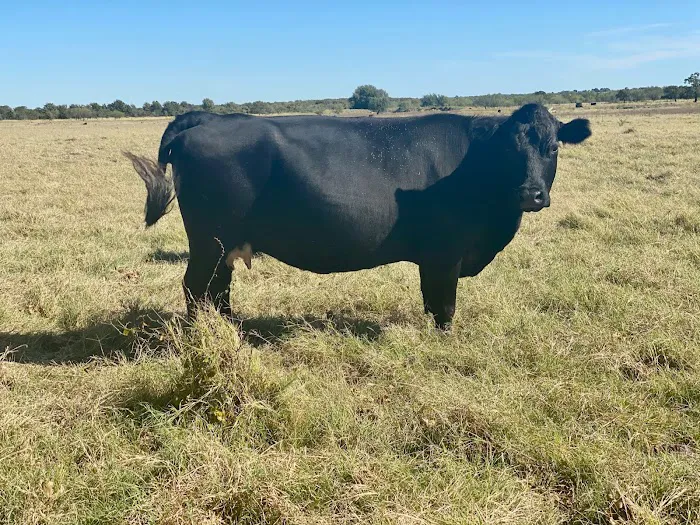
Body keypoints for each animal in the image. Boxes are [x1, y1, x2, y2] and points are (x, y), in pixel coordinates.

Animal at [125, 103, 591, 329]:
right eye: (510, 150)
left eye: (553, 147)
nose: (531, 194)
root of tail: (206, 119)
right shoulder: (445, 253)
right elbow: (444, 306)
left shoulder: (434, 258)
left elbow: (430, 300)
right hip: (208, 240)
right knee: (195, 288)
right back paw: (200, 337)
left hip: (224, 244)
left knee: (218, 290)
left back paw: (230, 329)